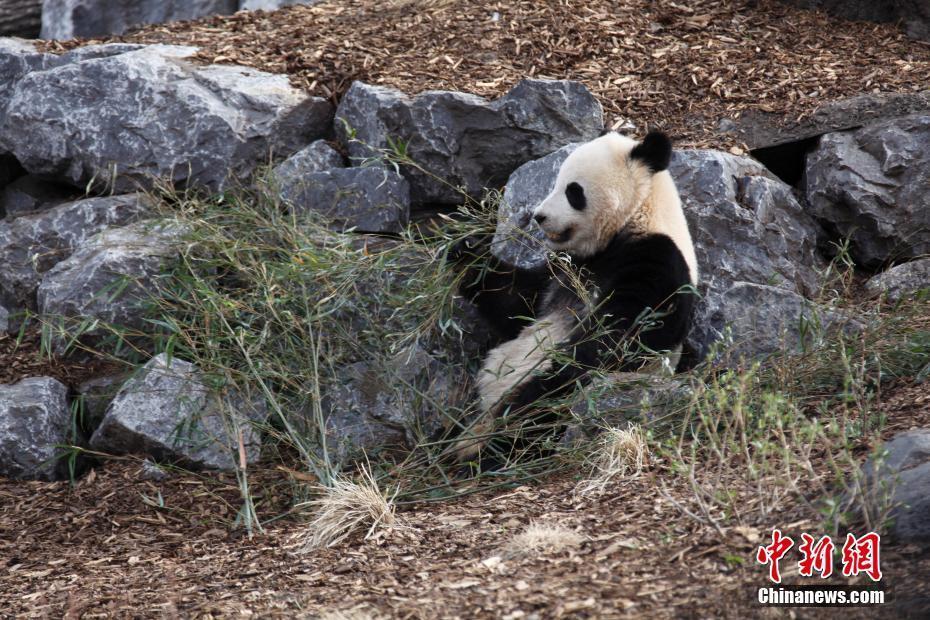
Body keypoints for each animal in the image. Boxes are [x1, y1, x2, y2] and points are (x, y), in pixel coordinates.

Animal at [450, 132, 696, 470]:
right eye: (554, 181)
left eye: (573, 191)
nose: (539, 216)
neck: (635, 218)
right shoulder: (566, 269)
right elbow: (518, 305)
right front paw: (466, 251)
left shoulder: (658, 261)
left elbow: (619, 340)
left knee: (537, 422)